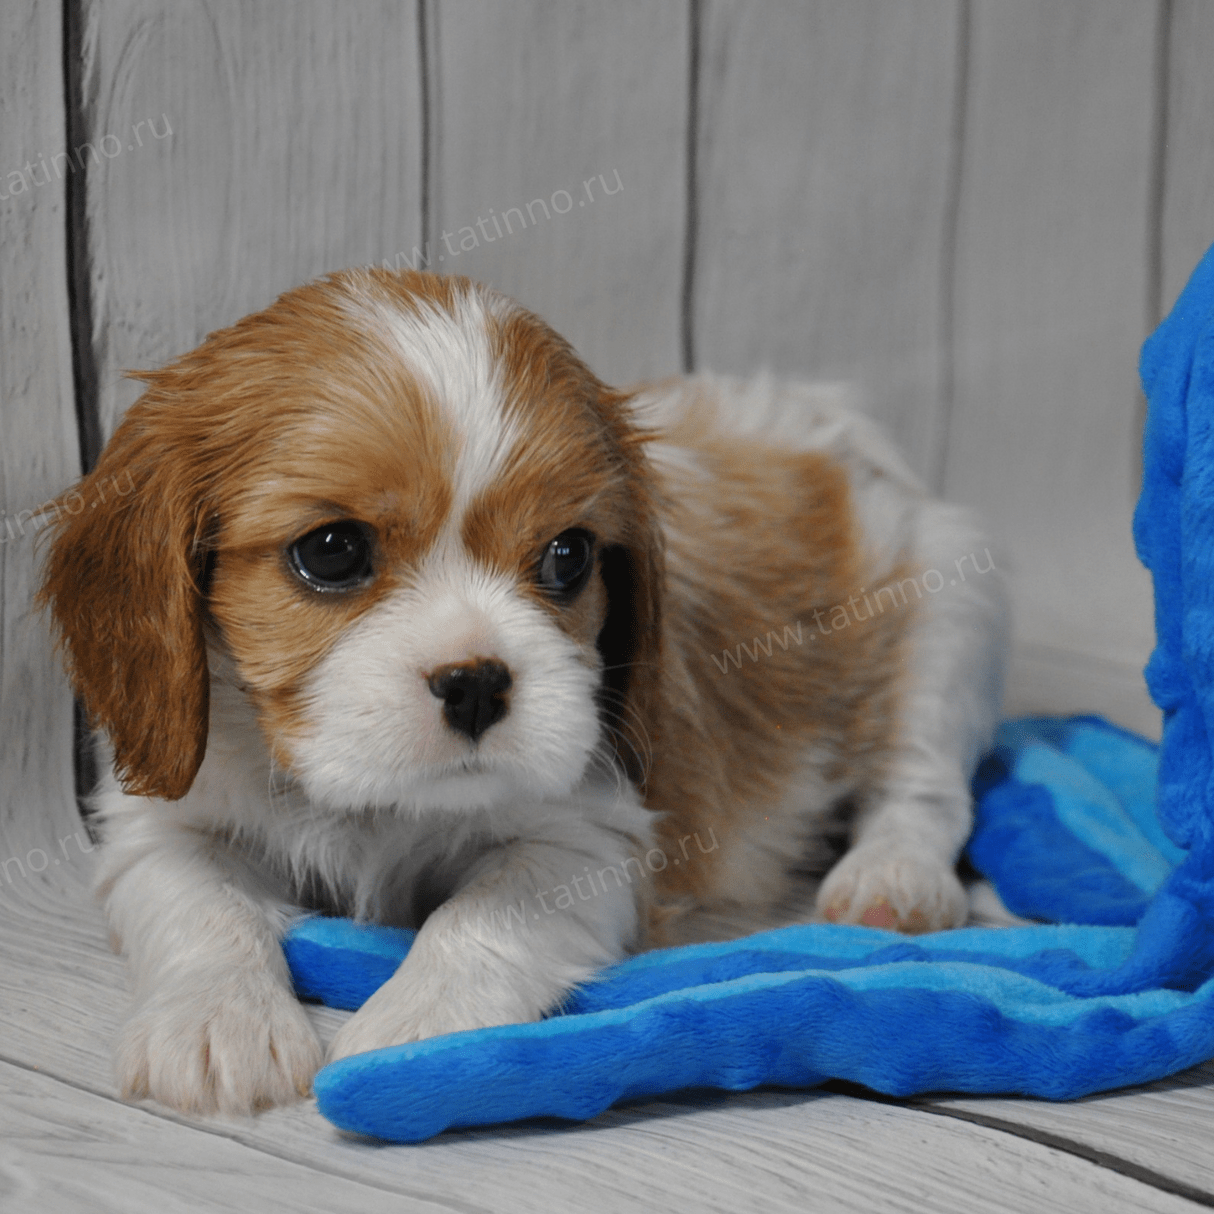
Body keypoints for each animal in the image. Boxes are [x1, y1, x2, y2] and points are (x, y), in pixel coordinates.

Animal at [37, 270, 1005, 1112]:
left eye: (567, 557)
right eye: (332, 551)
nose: (476, 684)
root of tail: (829, 420)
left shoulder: (586, 836)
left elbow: (485, 914)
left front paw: (418, 1030)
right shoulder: (165, 820)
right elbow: (203, 907)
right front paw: (218, 1027)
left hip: (944, 619)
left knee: (921, 788)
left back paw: (894, 880)